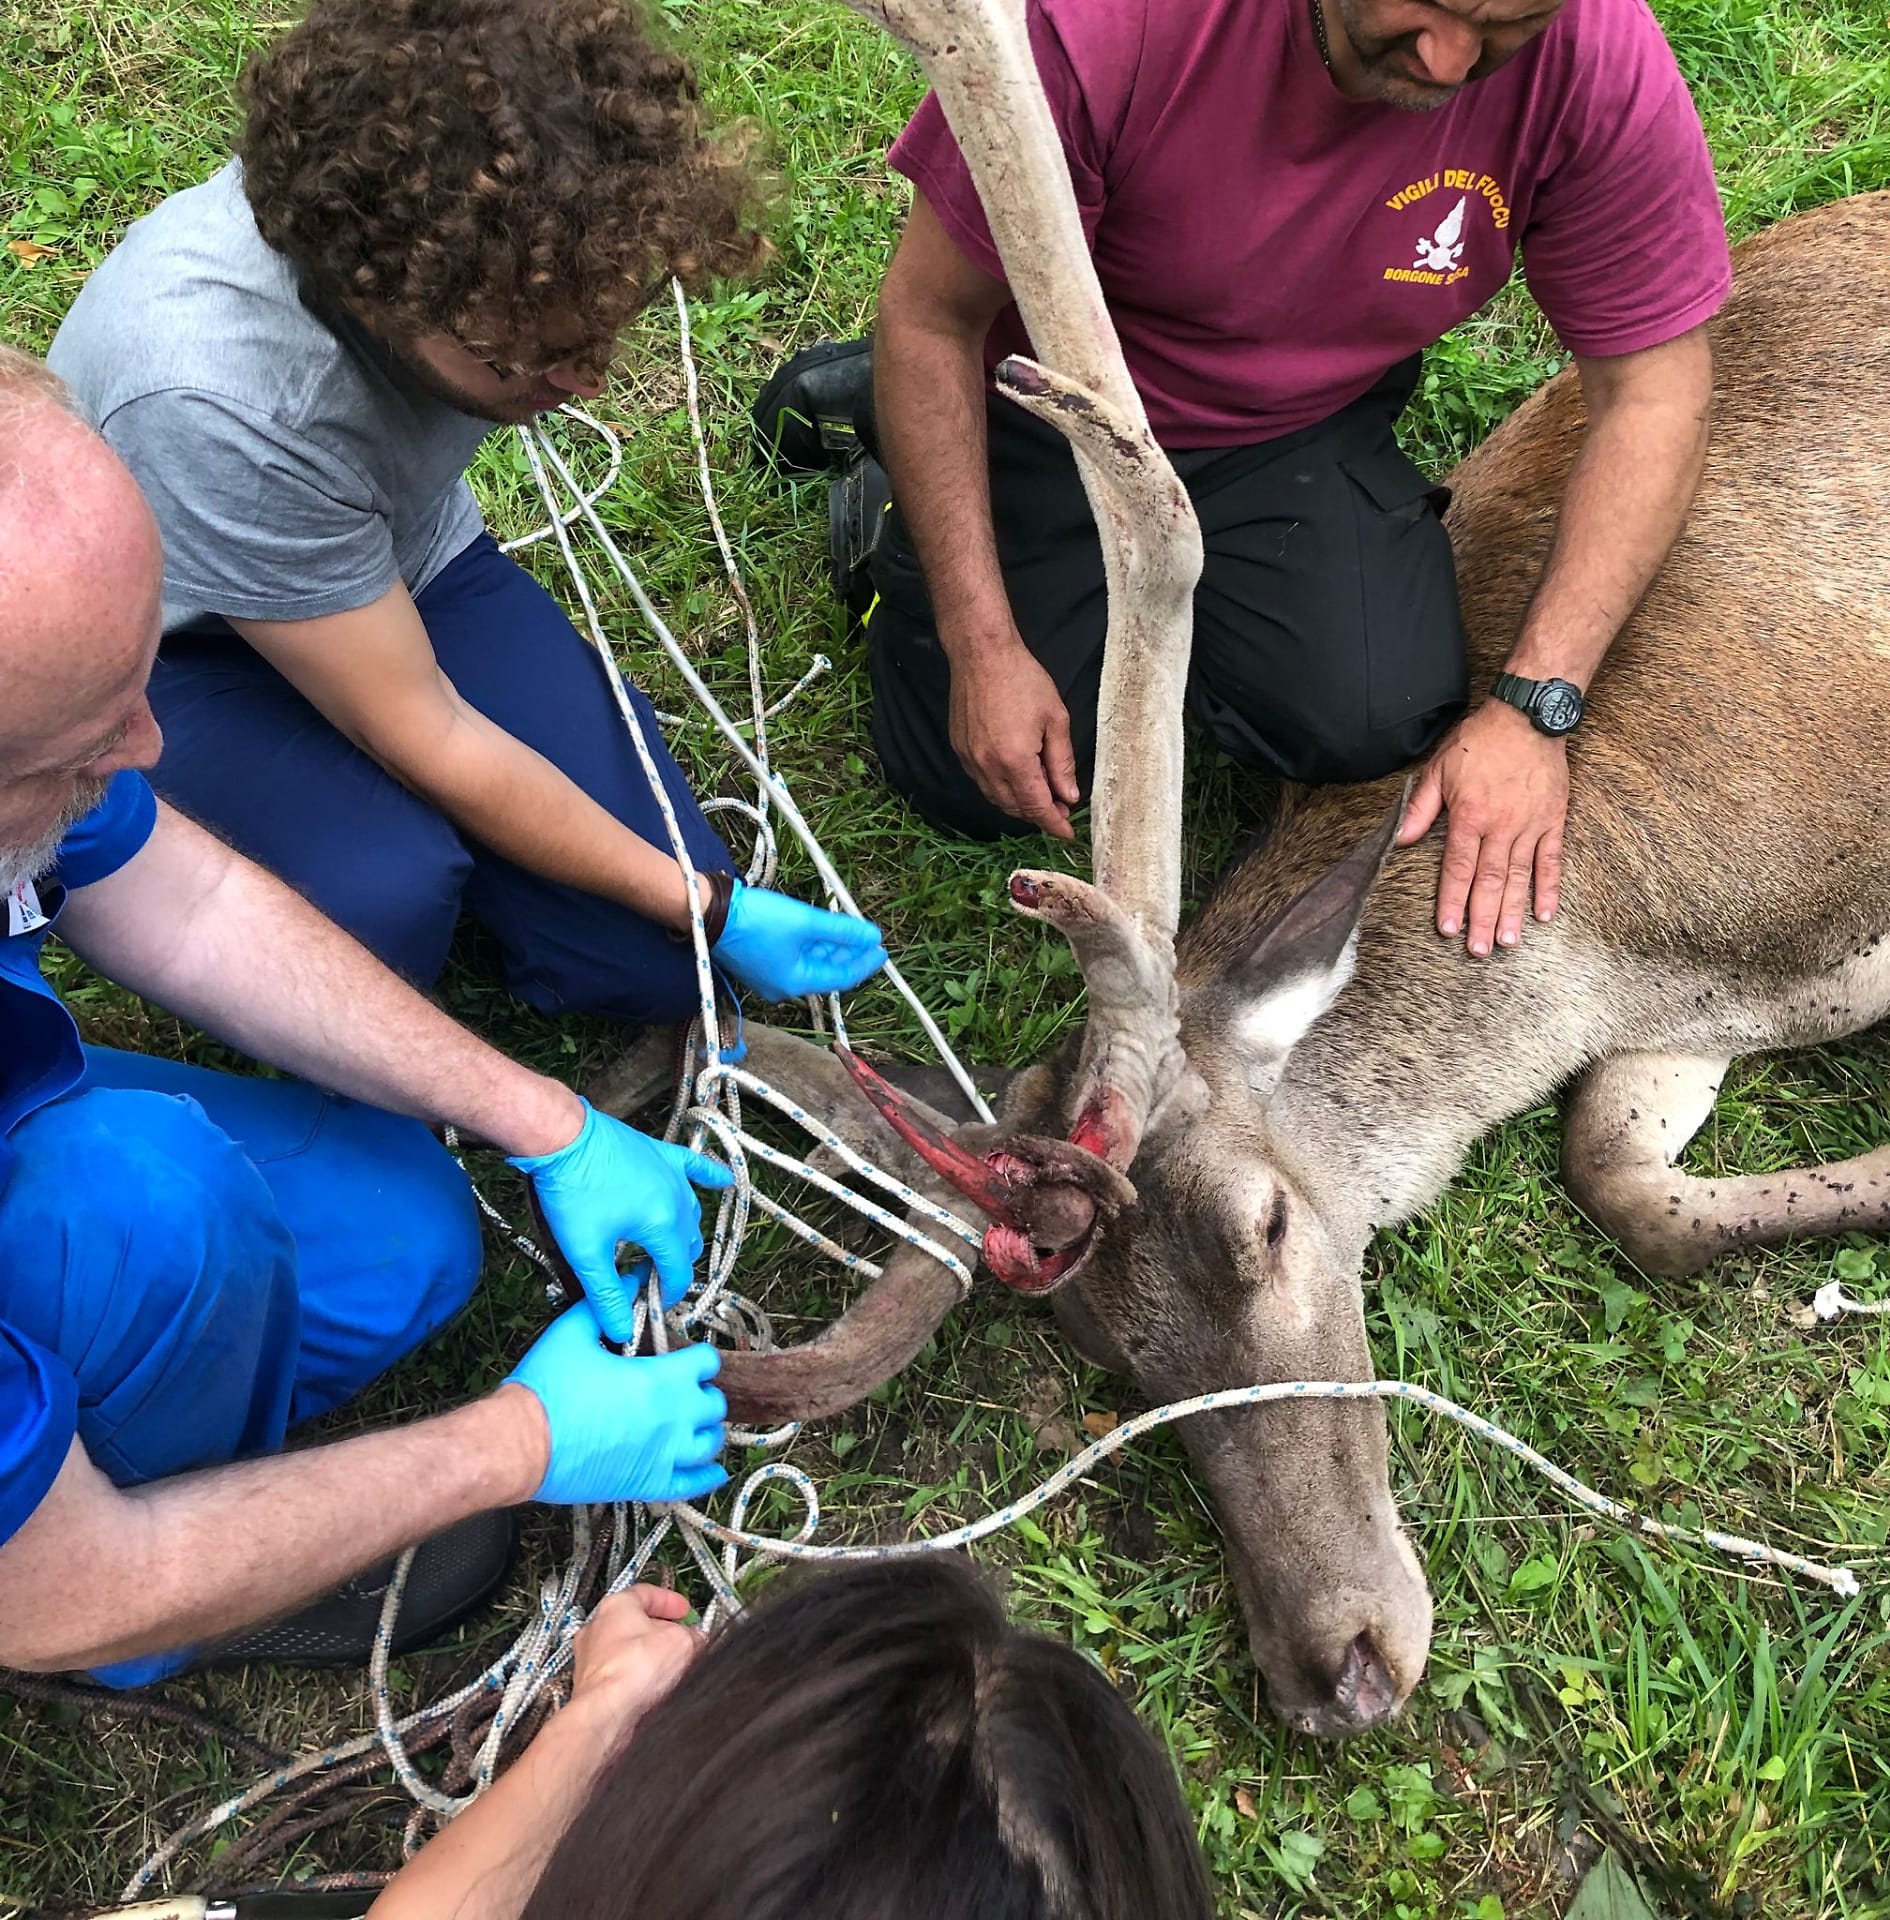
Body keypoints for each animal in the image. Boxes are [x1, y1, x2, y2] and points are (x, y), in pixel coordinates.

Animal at [591, 0, 1890, 1743]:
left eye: (1264, 1228)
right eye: (1116, 1362)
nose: (1335, 1669)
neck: (1630, 935)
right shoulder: (1681, 1024)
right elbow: (1624, 1188)